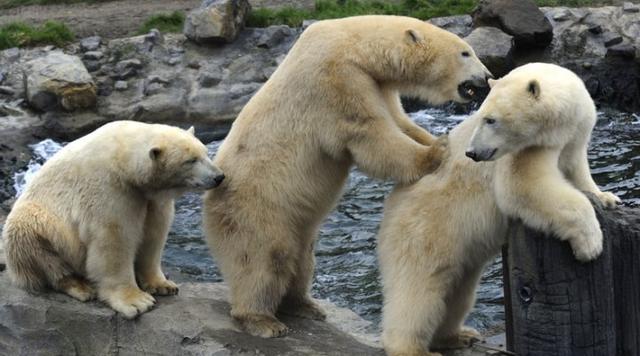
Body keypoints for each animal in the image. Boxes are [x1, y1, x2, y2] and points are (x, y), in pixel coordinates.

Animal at [3, 121, 225, 318]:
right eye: (190, 160)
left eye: (205, 153)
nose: (219, 177)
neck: (122, 157)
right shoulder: (110, 189)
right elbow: (114, 240)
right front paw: (137, 302)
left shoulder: (150, 199)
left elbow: (153, 234)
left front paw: (164, 285)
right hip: (36, 223)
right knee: (35, 242)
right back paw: (80, 286)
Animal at [202, 16, 492, 340]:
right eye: (466, 52)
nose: (487, 77)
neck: (355, 46)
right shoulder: (337, 79)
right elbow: (368, 132)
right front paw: (436, 152)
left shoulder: (377, 84)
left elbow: (400, 122)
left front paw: (435, 138)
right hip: (255, 205)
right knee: (265, 256)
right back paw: (262, 320)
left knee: (302, 258)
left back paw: (305, 305)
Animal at [380, 63, 620, 356]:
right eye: (482, 116)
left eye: (491, 120)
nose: (472, 153)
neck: (561, 122)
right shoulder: (527, 150)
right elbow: (522, 186)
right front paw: (590, 244)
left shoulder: (574, 133)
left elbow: (577, 168)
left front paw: (606, 197)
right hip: (424, 227)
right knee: (418, 289)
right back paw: (414, 347)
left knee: (459, 291)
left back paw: (457, 335)